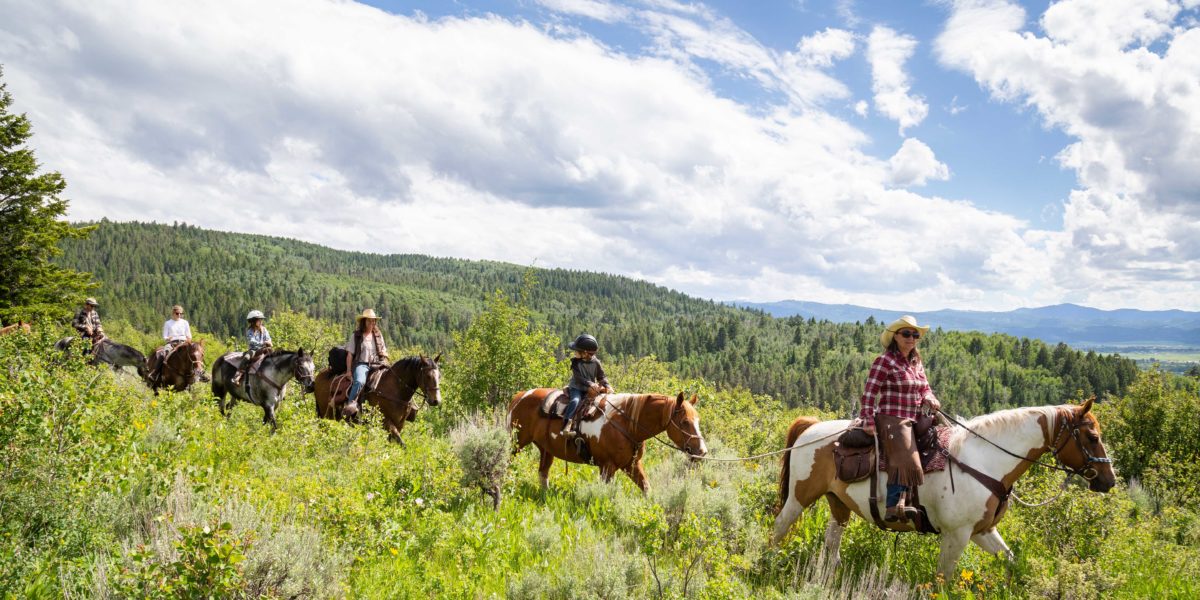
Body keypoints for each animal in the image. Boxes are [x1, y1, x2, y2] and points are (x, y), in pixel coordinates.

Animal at [312, 352, 444, 444]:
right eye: (427, 376)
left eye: (439, 375)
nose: (436, 400)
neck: (395, 390)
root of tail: (319, 376)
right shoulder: (385, 422)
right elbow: (401, 443)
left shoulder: (400, 424)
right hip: (326, 414)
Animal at [508, 388, 710, 492]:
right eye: (685, 422)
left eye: (698, 420)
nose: (702, 451)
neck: (628, 425)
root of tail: (519, 396)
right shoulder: (607, 467)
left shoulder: (632, 465)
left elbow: (646, 488)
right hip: (516, 443)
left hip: (545, 450)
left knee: (543, 473)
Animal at [772, 398, 1118, 576]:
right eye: (1092, 437)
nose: (1108, 480)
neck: (984, 460)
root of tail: (812, 427)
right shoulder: (957, 534)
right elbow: (943, 579)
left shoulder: (983, 531)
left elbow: (1010, 561)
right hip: (800, 497)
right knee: (780, 526)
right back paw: (768, 562)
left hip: (838, 501)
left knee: (833, 540)